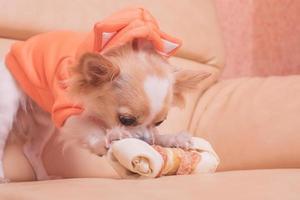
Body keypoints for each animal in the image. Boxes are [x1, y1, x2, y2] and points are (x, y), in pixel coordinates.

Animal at [0, 38, 210, 180]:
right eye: (126, 120)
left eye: (160, 122)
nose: (144, 142)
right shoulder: (65, 111)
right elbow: (90, 130)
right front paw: (109, 139)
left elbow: (156, 135)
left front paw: (172, 139)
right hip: (7, 111)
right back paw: (4, 179)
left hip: (44, 122)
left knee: (31, 150)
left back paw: (44, 177)